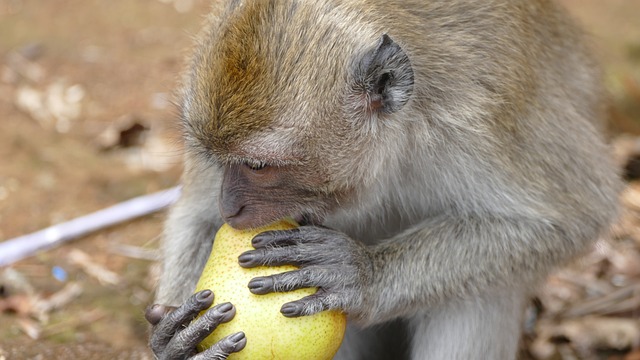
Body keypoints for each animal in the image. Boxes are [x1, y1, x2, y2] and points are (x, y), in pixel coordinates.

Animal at [145, 0, 620, 360]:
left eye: (258, 167)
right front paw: (176, 336)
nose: (231, 206)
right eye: (214, 158)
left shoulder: (487, 119)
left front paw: (362, 273)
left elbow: (568, 218)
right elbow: (195, 216)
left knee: (481, 293)